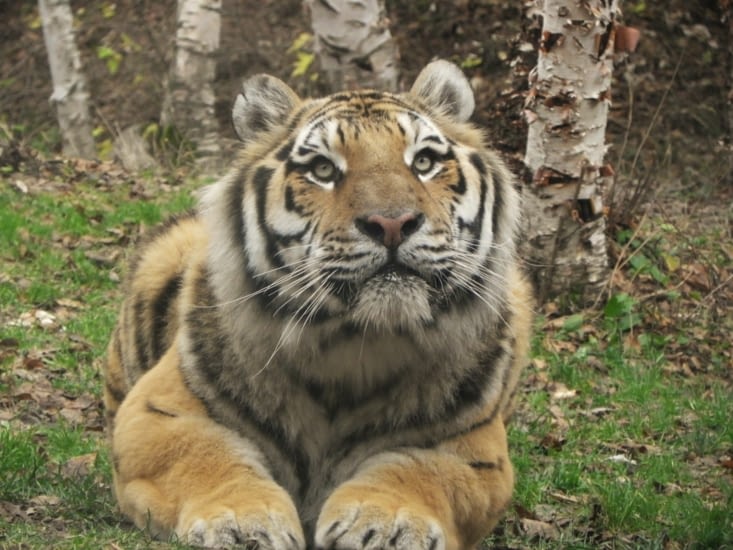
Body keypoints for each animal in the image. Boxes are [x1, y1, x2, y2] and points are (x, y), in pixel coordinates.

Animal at [104, 60, 533, 549]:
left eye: (423, 162)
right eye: (323, 169)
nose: (392, 223)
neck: (354, 347)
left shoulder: (473, 447)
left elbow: (418, 469)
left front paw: (386, 524)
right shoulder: (156, 412)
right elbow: (207, 456)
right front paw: (241, 522)